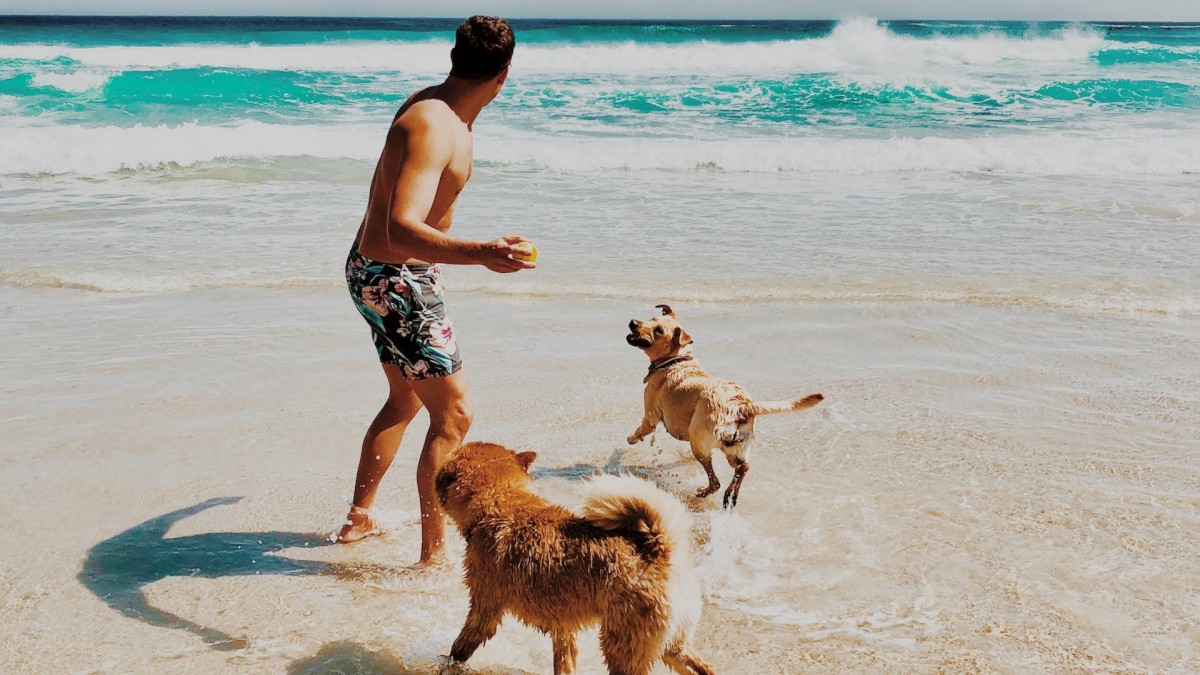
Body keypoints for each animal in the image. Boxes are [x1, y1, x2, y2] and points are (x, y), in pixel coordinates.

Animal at [436, 441, 710, 672]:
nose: (435, 475)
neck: (501, 505)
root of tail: (661, 551)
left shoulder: (484, 608)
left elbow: (460, 647)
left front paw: (448, 663)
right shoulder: (564, 628)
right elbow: (564, 661)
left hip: (624, 646)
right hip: (672, 646)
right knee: (703, 667)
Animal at [624, 303, 820, 504]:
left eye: (659, 331)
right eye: (651, 319)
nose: (632, 322)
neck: (675, 361)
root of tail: (742, 405)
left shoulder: (650, 416)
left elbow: (641, 429)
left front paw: (631, 439)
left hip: (699, 442)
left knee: (715, 481)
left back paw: (704, 492)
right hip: (735, 447)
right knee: (743, 468)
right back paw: (730, 495)